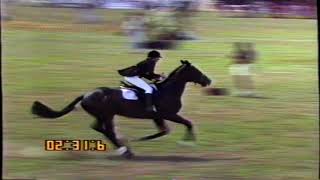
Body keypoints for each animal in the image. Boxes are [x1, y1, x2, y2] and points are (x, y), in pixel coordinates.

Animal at [31, 59, 211, 158]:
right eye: (195, 70)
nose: (208, 81)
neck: (167, 91)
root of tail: (85, 94)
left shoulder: (158, 116)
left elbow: (164, 131)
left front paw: (143, 138)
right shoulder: (169, 114)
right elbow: (188, 123)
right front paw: (188, 142)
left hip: (105, 115)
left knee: (101, 128)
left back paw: (124, 147)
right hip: (106, 115)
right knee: (106, 130)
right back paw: (125, 150)